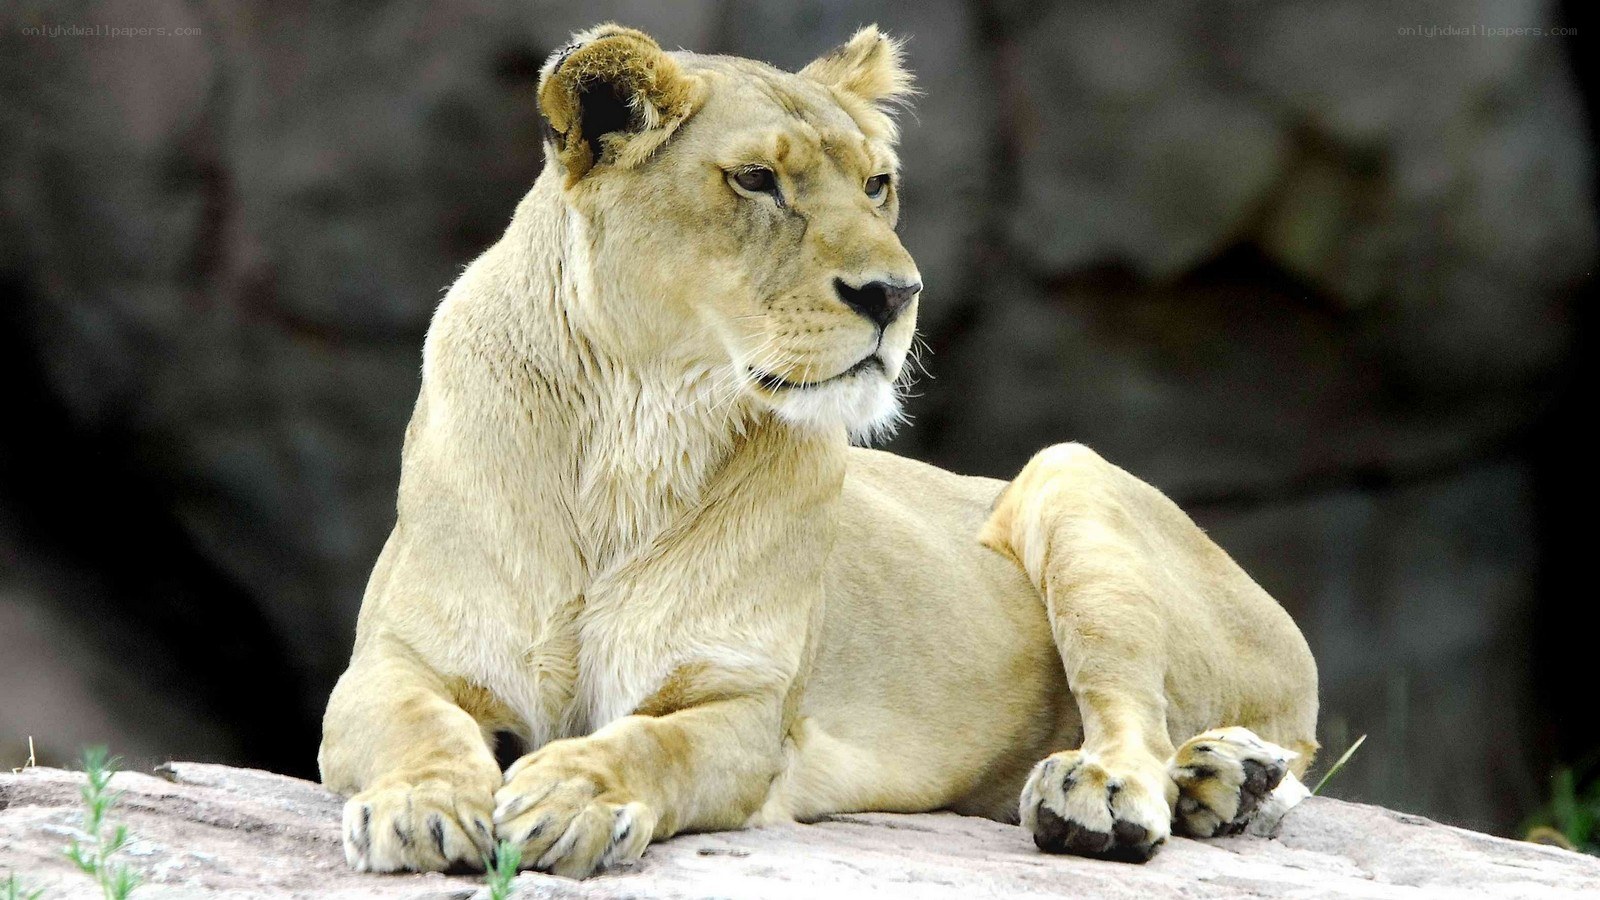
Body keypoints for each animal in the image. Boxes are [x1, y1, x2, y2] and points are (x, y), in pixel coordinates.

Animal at [318, 24, 1320, 878]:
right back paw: (1221, 783)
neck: (637, 433)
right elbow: (413, 722)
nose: (895, 294)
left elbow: (650, 741)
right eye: (758, 179)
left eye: (878, 185)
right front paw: (421, 807)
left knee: (1145, 716)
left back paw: (1124, 789)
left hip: (1068, 473)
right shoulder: (395, 660)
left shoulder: (748, 706)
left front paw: (573, 795)